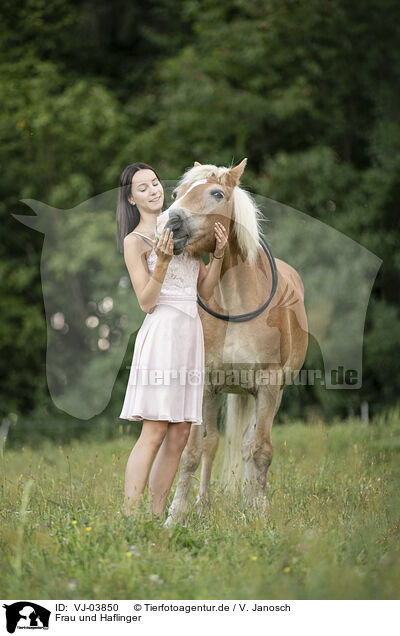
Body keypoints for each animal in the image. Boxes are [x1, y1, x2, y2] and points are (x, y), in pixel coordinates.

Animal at [155, 157, 308, 524]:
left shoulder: (268, 385)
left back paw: (250, 502)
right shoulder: (206, 386)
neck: (236, 300)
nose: (169, 223)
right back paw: (205, 503)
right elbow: (196, 449)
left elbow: (261, 450)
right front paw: (177, 514)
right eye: (177, 194)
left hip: (271, 394)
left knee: (249, 445)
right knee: (215, 445)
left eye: (216, 194)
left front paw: (260, 512)